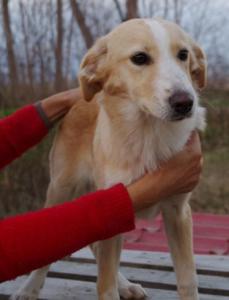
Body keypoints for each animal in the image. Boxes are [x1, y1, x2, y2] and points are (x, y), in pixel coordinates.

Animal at [11, 18, 207, 300]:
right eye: (139, 58)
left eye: (183, 54)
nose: (185, 102)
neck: (148, 135)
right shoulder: (114, 202)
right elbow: (105, 286)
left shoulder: (178, 212)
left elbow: (187, 280)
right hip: (62, 189)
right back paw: (30, 288)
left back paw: (125, 285)